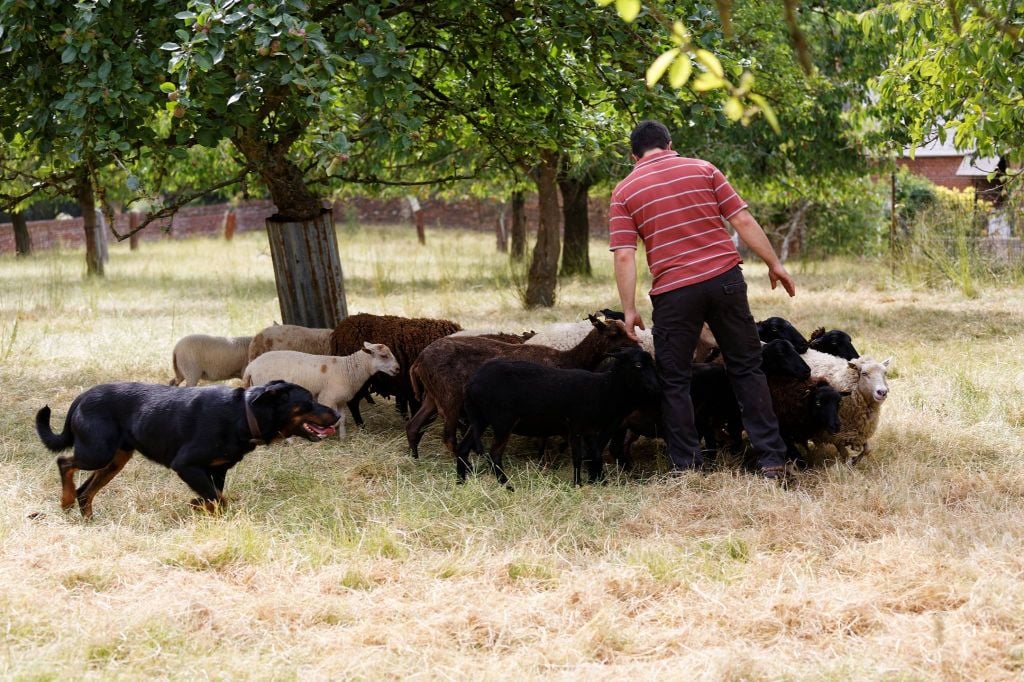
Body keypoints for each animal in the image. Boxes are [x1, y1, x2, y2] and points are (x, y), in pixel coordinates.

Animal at [36, 376, 339, 516]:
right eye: (309, 401)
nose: (337, 414)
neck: (244, 413)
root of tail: (81, 397)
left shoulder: (217, 470)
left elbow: (216, 498)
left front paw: (198, 506)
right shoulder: (186, 465)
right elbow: (218, 499)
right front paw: (199, 505)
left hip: (115, 460)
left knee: (85, 492)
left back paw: (87, 518)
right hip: (98, 452)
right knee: (65, 463)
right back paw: (65, 501)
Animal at [240, 339, 399, 436]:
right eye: (384, 356)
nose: (398, 369)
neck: (348, 369)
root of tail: (250, 367)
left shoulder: (340, 399)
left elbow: (342, 419)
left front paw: (343, 438)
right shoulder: (327, 398)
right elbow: (333, 420)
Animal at [403, 315, 634, 456]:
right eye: (614, 334)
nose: (637, 345)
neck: (569, 358)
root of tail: (418, 362)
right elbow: (546, 435)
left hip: (432, 395)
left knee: (413, 425)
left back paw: (416, 458)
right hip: (449, 395)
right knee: (448, 437)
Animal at [454, 348, 659, 485]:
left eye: (653, 364)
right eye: (638, 365)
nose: (657, 386)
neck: (604, 388)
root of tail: (472, 383)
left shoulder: (589, 429)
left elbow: (595, 454)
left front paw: (600, 482)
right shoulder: (575, 426)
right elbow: (578, 457)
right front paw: (578, 484)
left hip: (480, 419)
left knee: (463, 449)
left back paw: (461, 482)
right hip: (502, 421)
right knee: (494, 454)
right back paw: (507, 486)